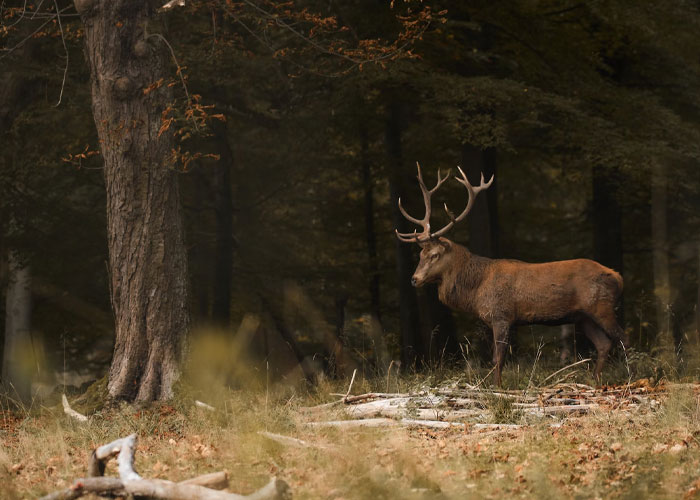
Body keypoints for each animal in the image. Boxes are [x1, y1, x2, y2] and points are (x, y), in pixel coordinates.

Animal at [395, 162, 628, 386]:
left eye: (434, 254)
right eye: (420, 253)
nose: (414, 279)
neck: (476, 289)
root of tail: (618, 277)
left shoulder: (501, 315)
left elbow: (498, 359)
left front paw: (496, 388)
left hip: (602, 307)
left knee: (623, 338)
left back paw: (629, 376)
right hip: (583, 316)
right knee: (604, 344)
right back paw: (596, 380)